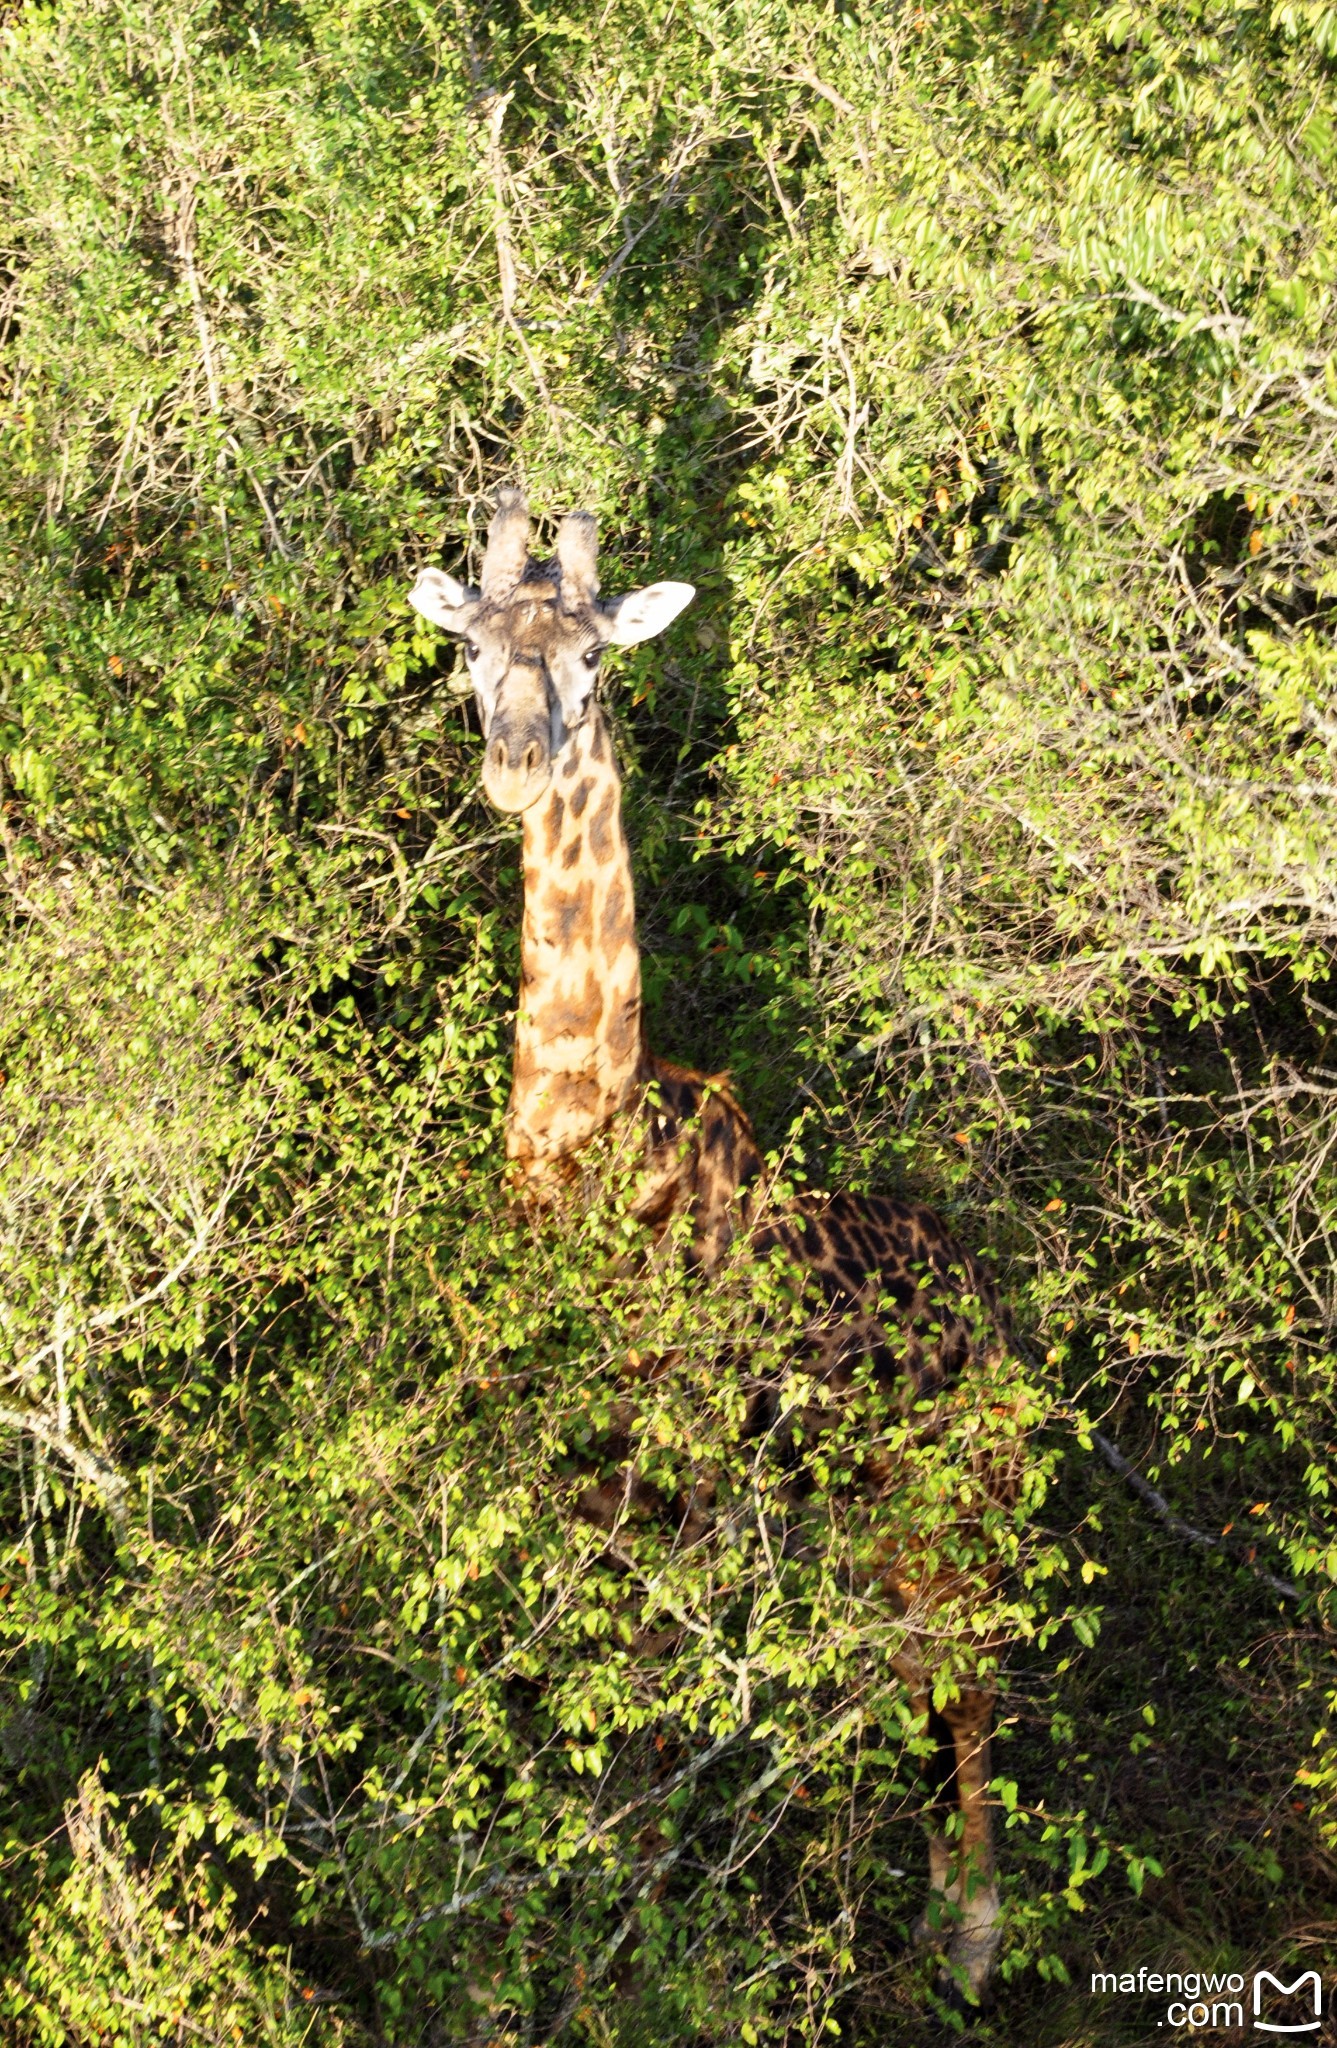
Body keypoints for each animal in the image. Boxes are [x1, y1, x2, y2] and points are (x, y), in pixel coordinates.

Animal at [411, 487, 1015, 1990]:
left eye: (590, 659)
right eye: (471, 652)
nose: (515, 770)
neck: (586, 1154)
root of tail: (996, 1314)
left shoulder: (665, 1484)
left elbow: (640, 1731)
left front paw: (618, 1948)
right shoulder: (558, 1463)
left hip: (953, 1505)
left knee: (972, 1678)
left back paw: (975, 1946)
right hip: (868, 1519)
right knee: (916, 1678)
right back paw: (926, 1906)